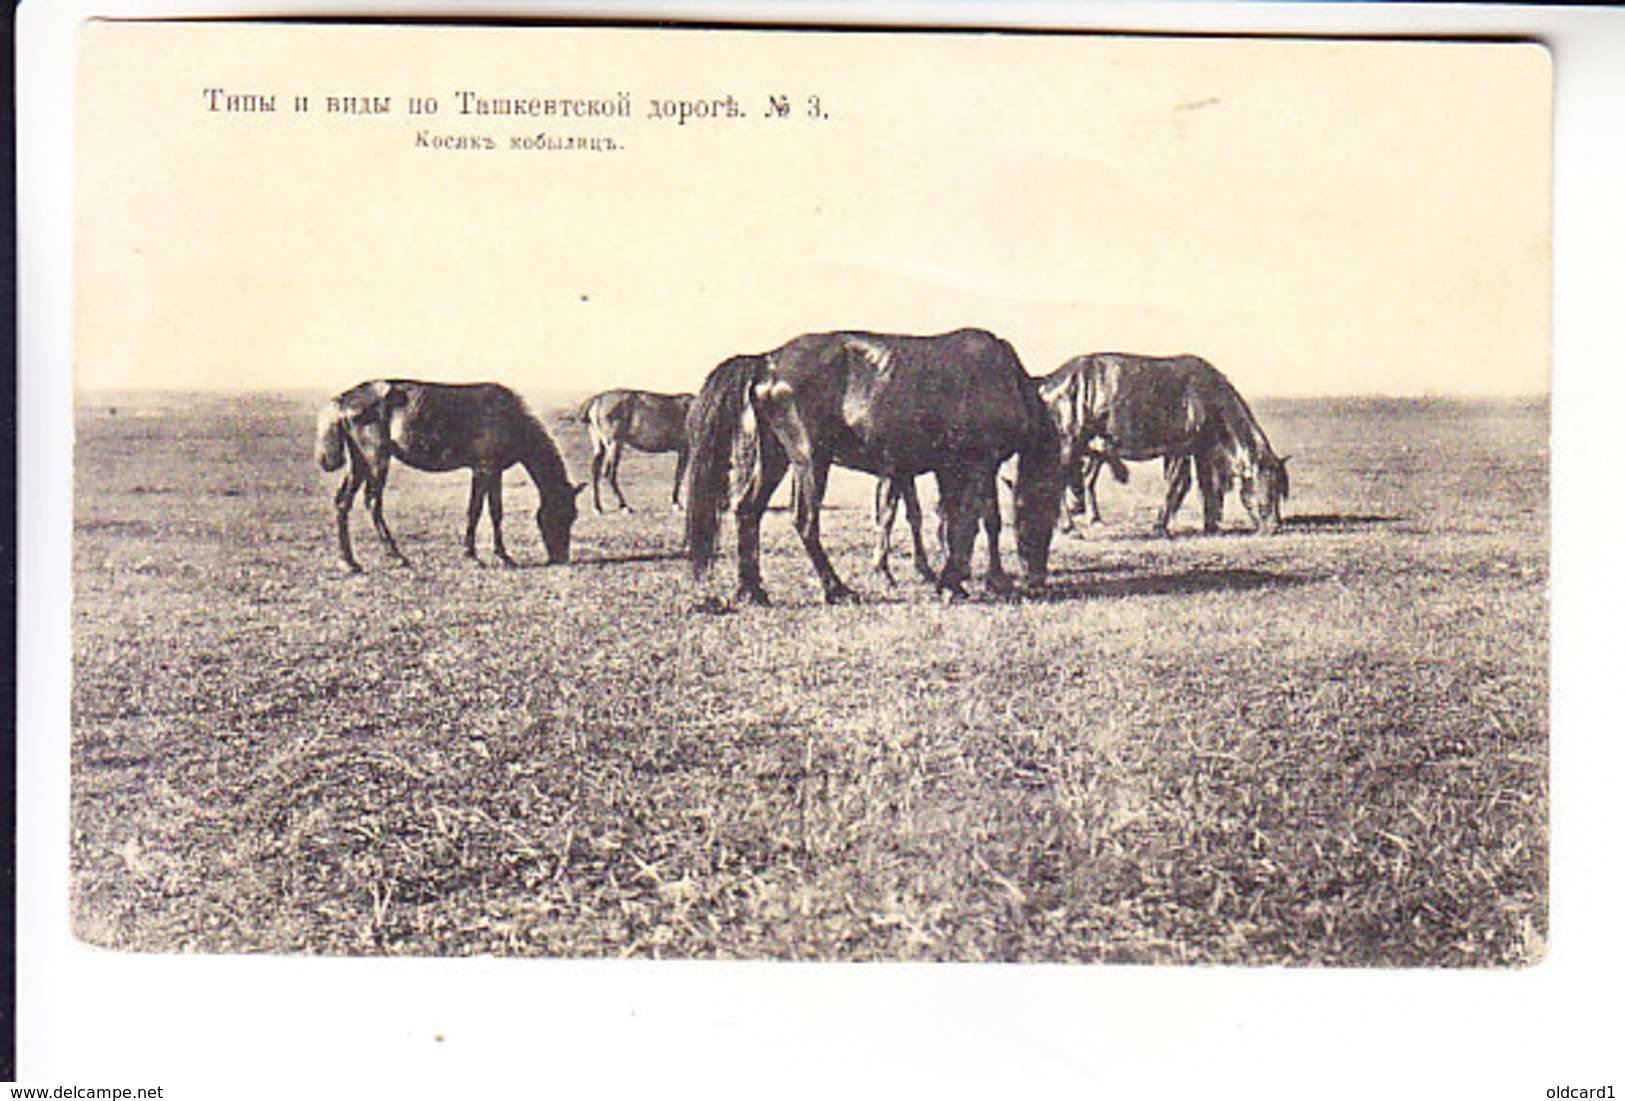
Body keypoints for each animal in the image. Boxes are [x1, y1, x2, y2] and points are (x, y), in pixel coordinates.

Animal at [312, 376, 585, 568]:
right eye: (562, 513)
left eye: (574, 516)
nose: (562, 558)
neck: (508, 416)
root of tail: (342, 401)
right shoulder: (483, 469)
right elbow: (476, 510)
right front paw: (472, 555)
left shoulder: (494, 472)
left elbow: (496, 512)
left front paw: (502, 554)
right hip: (376, 461)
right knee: (372, 503)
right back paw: (396, 555)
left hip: (359, 463)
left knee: (343, 502)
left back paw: (349, 561)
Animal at [679, 329, 1059, 604]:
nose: (1038, 577)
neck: (1004, 378)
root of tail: (769, 362)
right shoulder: (981, 463)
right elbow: (977, 522)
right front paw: (976, 581)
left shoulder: (955, 468)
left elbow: (961, 522)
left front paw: (962, 579)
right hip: (810, 461)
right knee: (805, 521)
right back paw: (836, 588)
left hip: (776, 458)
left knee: (748, 510)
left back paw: (752, 589)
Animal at [1040, 355, 1293, 535]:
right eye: (1270, 487)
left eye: (1281, 490)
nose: (1276, 527)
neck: (1210, 399)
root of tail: (1048, 382)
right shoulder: (1179, 449)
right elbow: (1177, 485)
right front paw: (1160, 526)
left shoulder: (1200, 451)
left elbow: (1206, 486)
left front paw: (1211, 526)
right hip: (1069, 443)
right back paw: (1068, 526)